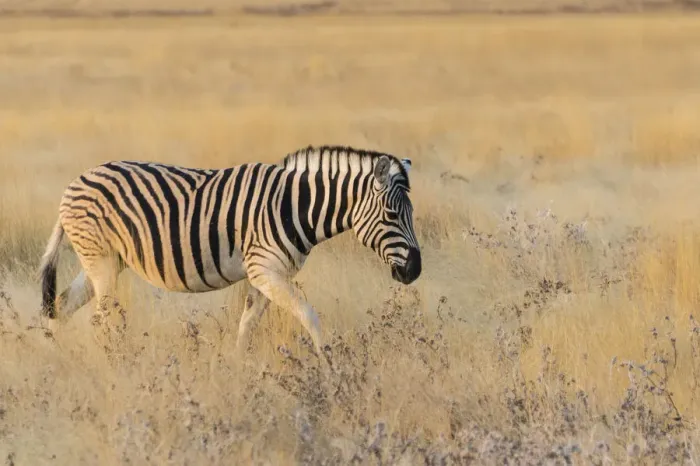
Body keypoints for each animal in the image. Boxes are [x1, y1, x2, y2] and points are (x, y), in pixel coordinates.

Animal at [38, 145, 422, 357]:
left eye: (412, 214)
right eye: (391, 215)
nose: (415, 270)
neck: (294, 206)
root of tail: (71, 186)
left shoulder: (267, 274)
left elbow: (246, 324)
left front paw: (239, 367)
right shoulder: (265, 269)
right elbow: (309, 316)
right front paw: (329, 366)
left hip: (103, 262)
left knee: (61, 305)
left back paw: (60, 360)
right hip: (101, 261)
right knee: (101, 319)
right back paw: (114, 365)